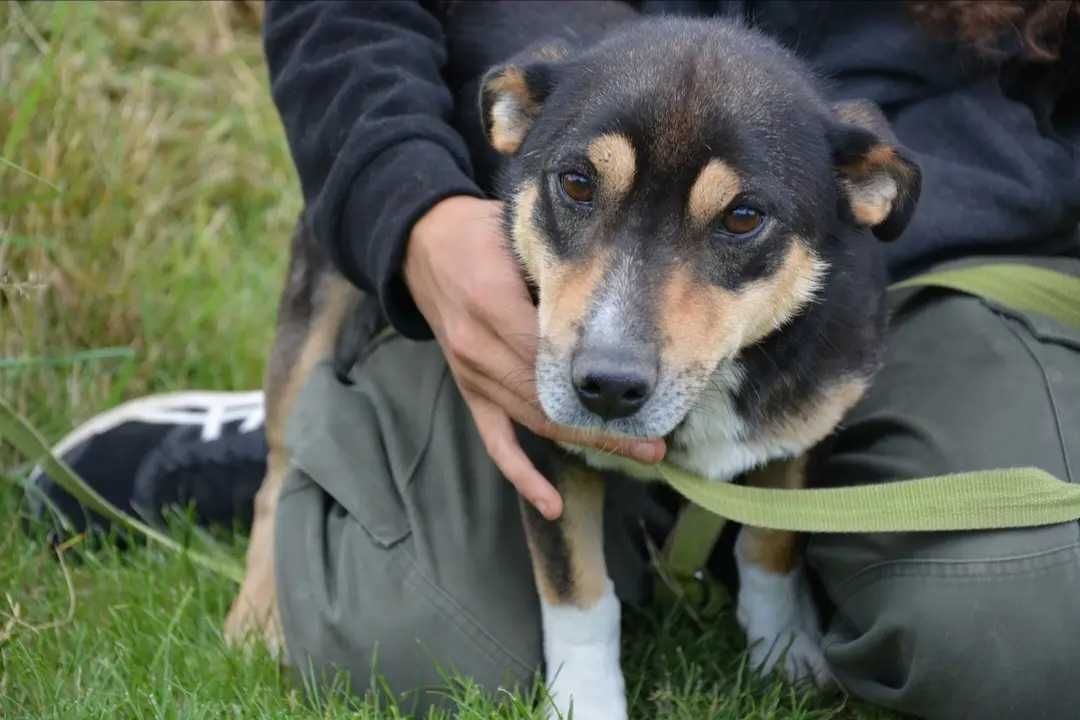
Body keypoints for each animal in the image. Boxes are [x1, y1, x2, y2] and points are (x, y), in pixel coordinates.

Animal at [225, 2, 920, 716]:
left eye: (744, 216)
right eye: (578, 183)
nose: (607, 386)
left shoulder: (806, 426)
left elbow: (771, 545)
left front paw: (785, 652)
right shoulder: (541, 443)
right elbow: (579, 592)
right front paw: (587, 701)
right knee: (281, 465)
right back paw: (258, 619)